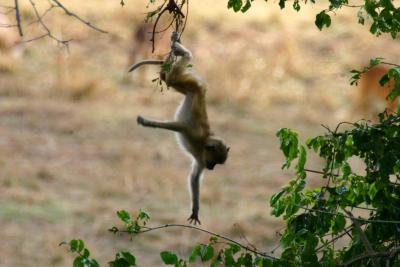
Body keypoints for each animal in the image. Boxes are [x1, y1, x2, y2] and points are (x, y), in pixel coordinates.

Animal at [128, 34, 228, 225]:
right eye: (214, 162)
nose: (212, 168)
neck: (203, 144)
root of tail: (201, 89)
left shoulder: (201, 159)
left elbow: (194, 177)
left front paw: (195, 210)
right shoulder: (192, 134)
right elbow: (177, 126)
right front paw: (147, 122)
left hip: (188, 86)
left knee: (169, 78)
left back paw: (172, 55)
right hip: (190, 83)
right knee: (176, 73)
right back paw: (180, 50)